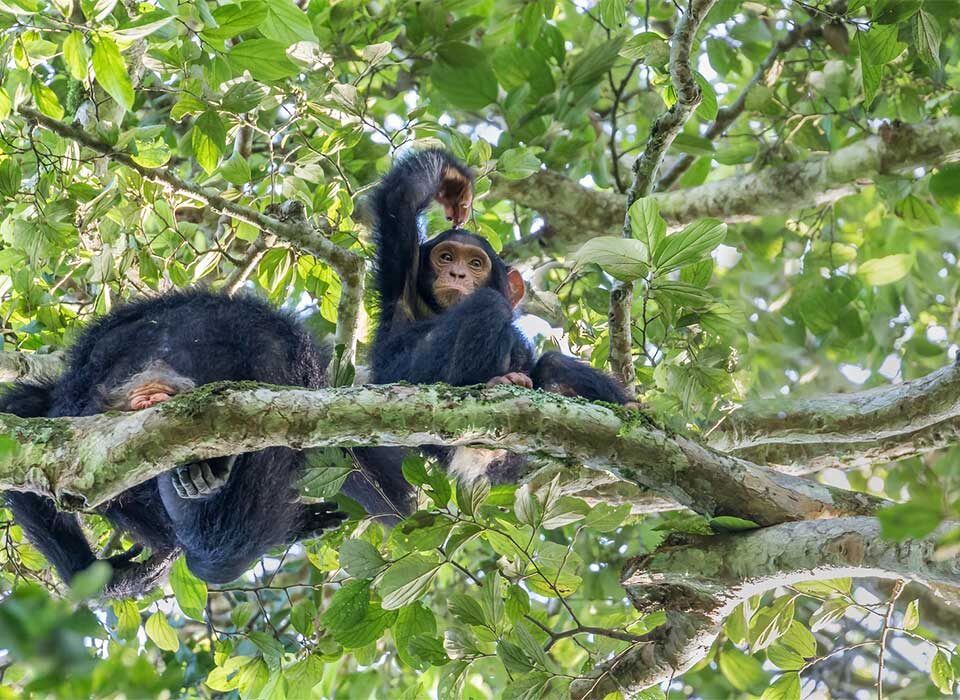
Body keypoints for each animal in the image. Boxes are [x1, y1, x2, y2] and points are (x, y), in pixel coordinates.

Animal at [346, 149, 636, 520]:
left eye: (474, 263)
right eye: (445, 257)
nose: (457, 273)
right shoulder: (402, 277)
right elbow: (401, 201)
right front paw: (453, 182)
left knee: (551, 366)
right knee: (488, 304)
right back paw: (492, 381)